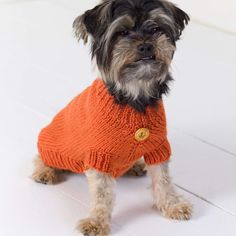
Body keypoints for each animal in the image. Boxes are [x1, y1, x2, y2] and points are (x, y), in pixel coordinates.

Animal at [32, 0, 193, 235]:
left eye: (155, 29)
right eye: (123, 32)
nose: (145, 46)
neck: (133, 99)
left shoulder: (158, 147)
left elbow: (163, 178)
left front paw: (172, 204)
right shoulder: (99, 156)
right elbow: (102, 194)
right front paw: (97, 222)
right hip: (52, 143)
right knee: (41, 157)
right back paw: (45, 172)